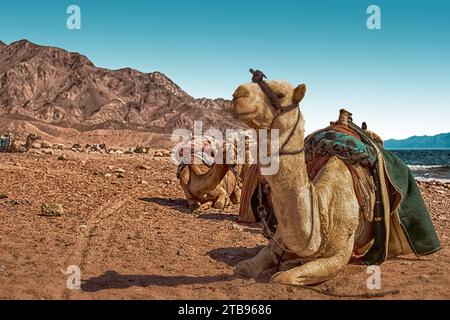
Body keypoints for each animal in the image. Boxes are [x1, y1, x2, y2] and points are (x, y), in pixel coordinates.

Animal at [230, 77, 374, 284]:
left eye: (280, 94)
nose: (238, 94)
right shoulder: (278, 239)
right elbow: (245, 265)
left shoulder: (339, 255)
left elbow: (282, 278)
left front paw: (286, 268)